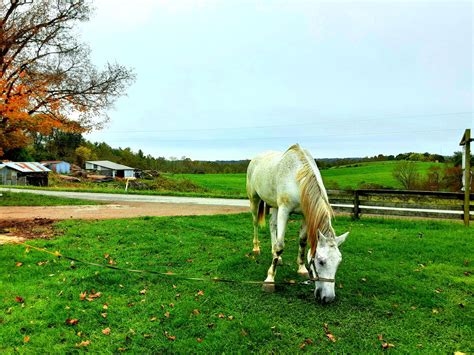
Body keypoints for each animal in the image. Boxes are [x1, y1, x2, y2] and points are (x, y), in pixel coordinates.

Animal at [246, 144, 350, 304]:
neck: (298, 179)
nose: (328, 298)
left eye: (339, 262)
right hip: (254, 199)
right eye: (321, 261)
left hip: (274, 205)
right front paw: (269, 280)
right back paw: (256, 248)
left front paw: (301, 269)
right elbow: (280, 246)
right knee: (256, 223)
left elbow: (302, 242)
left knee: (272, 225)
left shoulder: (306, 215)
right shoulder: (284, 210)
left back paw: (276, 257)